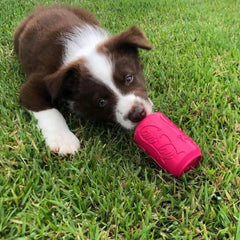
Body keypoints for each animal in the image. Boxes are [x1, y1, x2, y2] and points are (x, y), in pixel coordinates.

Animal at [14, 6, 153, 156]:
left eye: (129, 78)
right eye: (101, 102)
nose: (138, 114)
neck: (82, 48)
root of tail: (42, 8)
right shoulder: (37, 82)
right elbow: (47, 109)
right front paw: (63, 139)